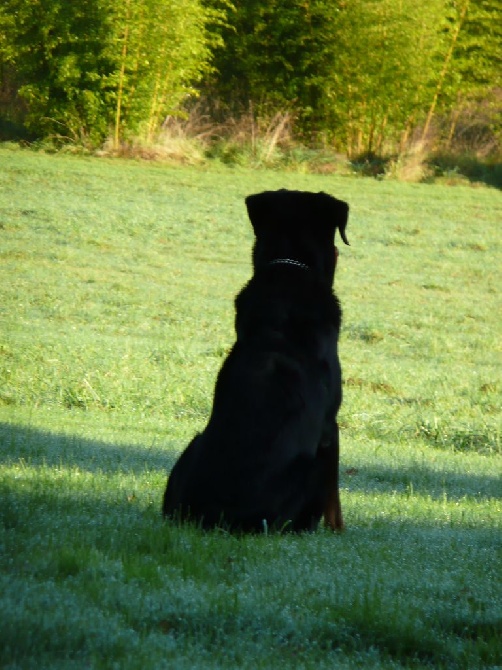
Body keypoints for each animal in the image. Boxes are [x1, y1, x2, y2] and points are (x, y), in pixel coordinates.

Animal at [165, 190, 350, 536]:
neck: (291, 269)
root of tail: (223, 519)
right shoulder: (330, 427)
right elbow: (335, 502)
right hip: (311, 468)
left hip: (192, 447)